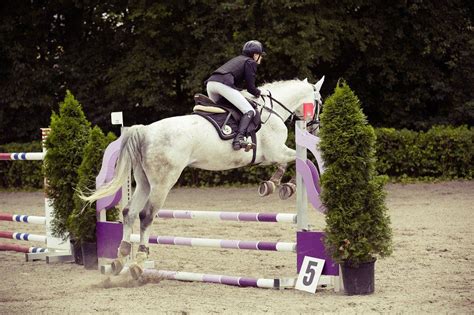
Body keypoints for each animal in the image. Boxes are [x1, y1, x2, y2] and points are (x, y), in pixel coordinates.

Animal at [83, 76, 324, 278]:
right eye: (319, 101)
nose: (315, 128)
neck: (271, 111)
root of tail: (144, 131)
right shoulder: (275, 152)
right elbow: (302, 161)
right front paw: (282, 186)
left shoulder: (268, 156)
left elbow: (294, 162)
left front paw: (274, 185)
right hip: (163, 182)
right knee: (146, 215)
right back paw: (139, 262)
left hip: (144, 182)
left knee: (129, 212)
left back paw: (119, 259)